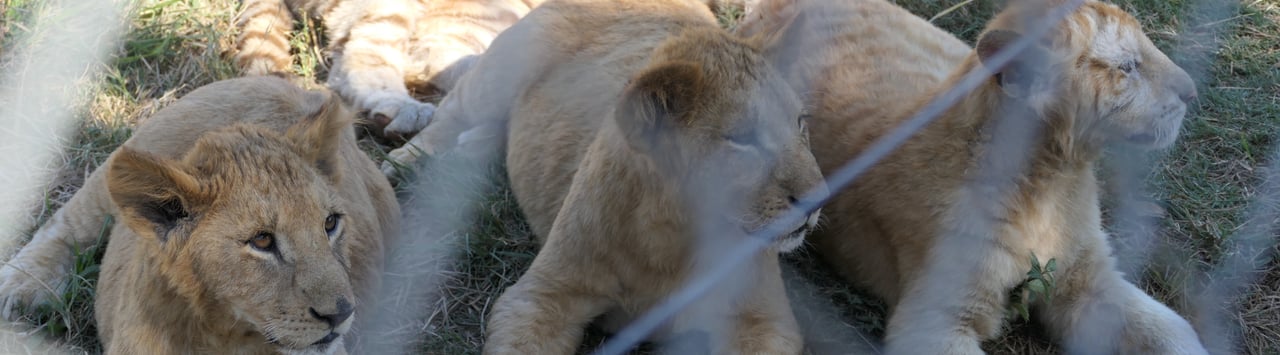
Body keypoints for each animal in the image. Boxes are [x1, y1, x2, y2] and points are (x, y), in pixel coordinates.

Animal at [0, 75, 399, 351]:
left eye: (330, 223)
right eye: (262, 241)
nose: (341, 314)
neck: (228, 341)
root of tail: (299, 89)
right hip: (127, 157)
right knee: (65, 224)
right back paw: (17, 287)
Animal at [742, 0, 1208, 351]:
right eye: (1127, 66)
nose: (1192, 91)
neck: (1053, 179)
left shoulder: (1092, 278)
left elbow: (1172, 332)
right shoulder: (936, 318)